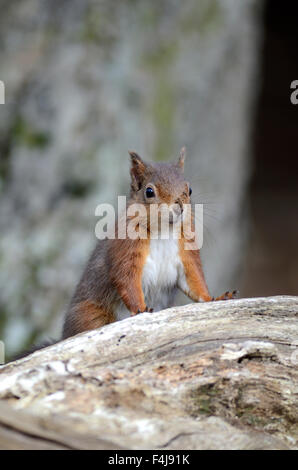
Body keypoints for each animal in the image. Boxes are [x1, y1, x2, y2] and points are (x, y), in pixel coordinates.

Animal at [61, 149, 236, 340]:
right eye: (149, 191)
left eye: (189, 189)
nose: (180, 205)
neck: (163, 231)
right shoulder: (126, 249)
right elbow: (126, 279)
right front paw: (141, 309)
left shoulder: (187, 254)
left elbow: (195, 280)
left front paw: (215, 298)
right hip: (90, 315)